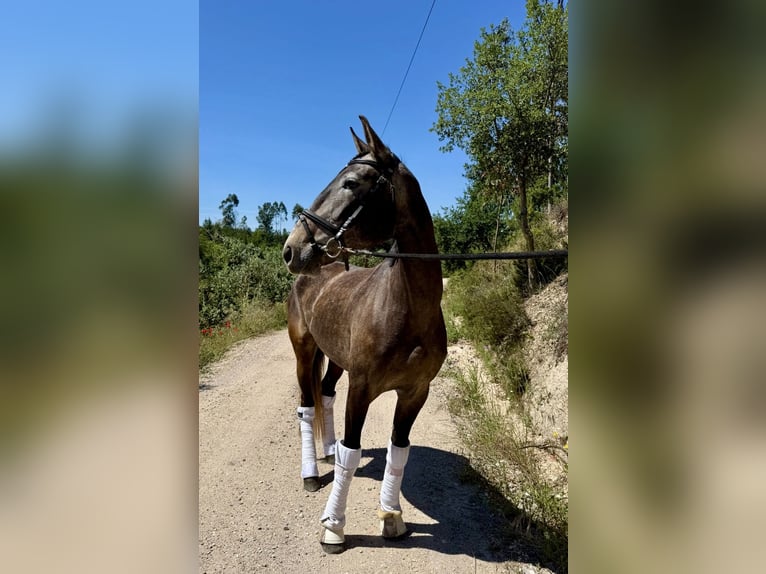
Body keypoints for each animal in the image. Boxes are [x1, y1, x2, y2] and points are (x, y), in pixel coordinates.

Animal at [282, 116, 447, 553]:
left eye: (351, 183)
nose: (292, 249)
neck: (406, 308)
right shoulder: (361, 387)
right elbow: (352, 453)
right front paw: (333, 527)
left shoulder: (415, 392)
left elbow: (398, 451)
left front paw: (392, 517)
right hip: (304, 351)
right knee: (307, 406)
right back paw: (311, 471)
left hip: (336, 359)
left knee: (324, 393)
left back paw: (325, 450)